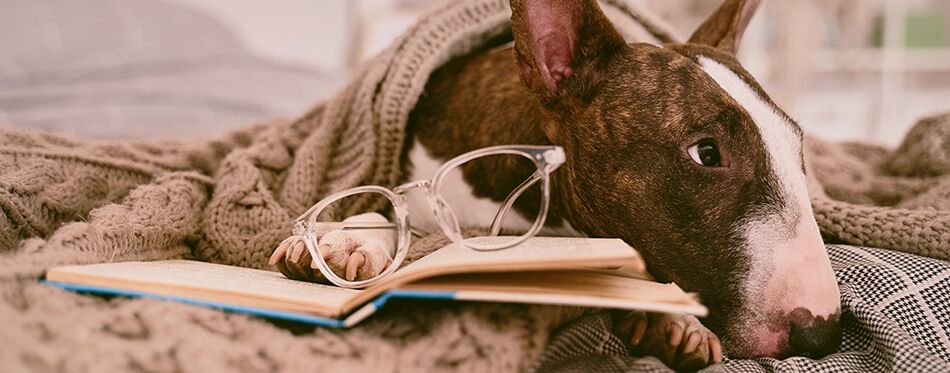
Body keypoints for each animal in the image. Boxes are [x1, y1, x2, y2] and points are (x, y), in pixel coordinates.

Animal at [272, 0, 844, 366]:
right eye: (706, 153)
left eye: (800, 154)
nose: (822, 334)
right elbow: (385, 204)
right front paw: (346, 241)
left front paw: (678, 324)